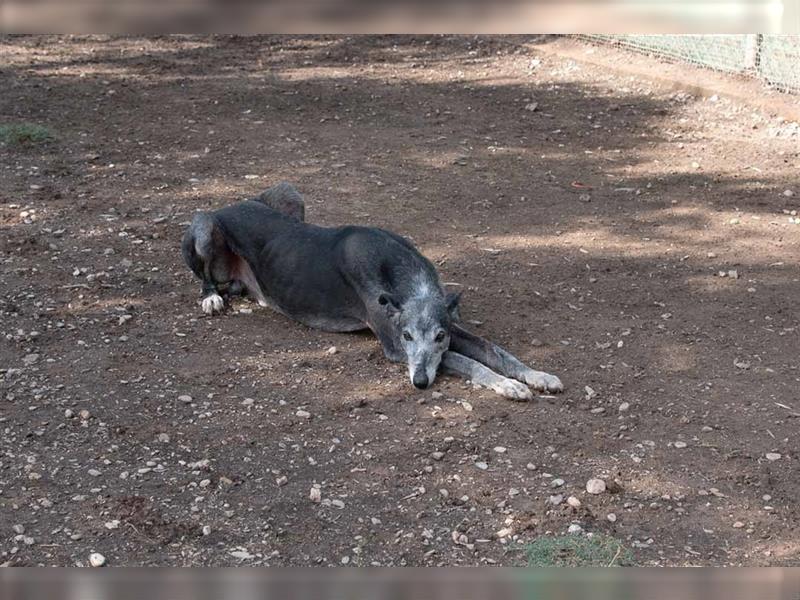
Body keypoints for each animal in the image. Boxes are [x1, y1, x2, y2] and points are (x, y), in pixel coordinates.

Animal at [183, 183, 564, 398]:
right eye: (407, 336)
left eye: (439, 336)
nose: (420, 383)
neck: (405, 272)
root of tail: (232, 202)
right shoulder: (396, 348)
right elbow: (471, 363)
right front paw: (510, 386)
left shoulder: (450, 326)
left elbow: (497, 352)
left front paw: (537, 376)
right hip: (205, 227)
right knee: (205, 276)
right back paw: (211, 297)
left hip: (290, 194)